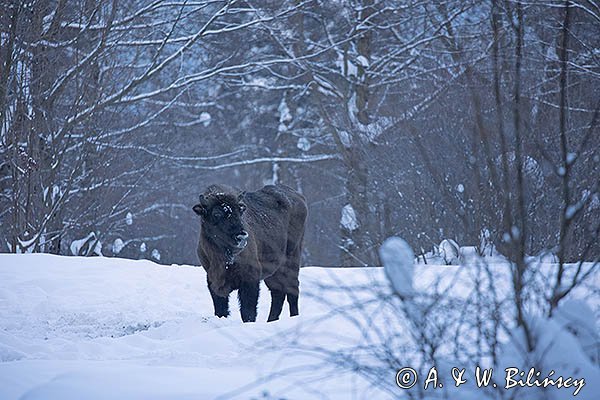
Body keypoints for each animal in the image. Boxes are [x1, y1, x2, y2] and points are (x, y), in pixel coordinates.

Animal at [192, 184, 308, 322]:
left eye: (240, 212)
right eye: (216, 214)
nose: (242, 236)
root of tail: (299, 197)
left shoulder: (250, 278)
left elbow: (247, 310)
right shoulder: (213, 279)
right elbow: (221, 308)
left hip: (292, 259)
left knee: (292, 290)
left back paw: (294, 317)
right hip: (275, 270)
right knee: (278, 293)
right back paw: (271, 320)